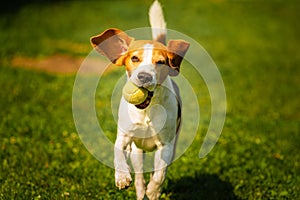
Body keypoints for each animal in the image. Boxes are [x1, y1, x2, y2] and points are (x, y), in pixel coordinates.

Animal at [90, 0, 190, 199]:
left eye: (161, 62)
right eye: (134, 58)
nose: (144, 76)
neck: (146, 111)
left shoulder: (166, 146)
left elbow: (159, 175)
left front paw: (154, 190)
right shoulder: (124, 137)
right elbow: (118, 152)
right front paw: (121, 177)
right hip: (137, 153)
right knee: (138, 177)